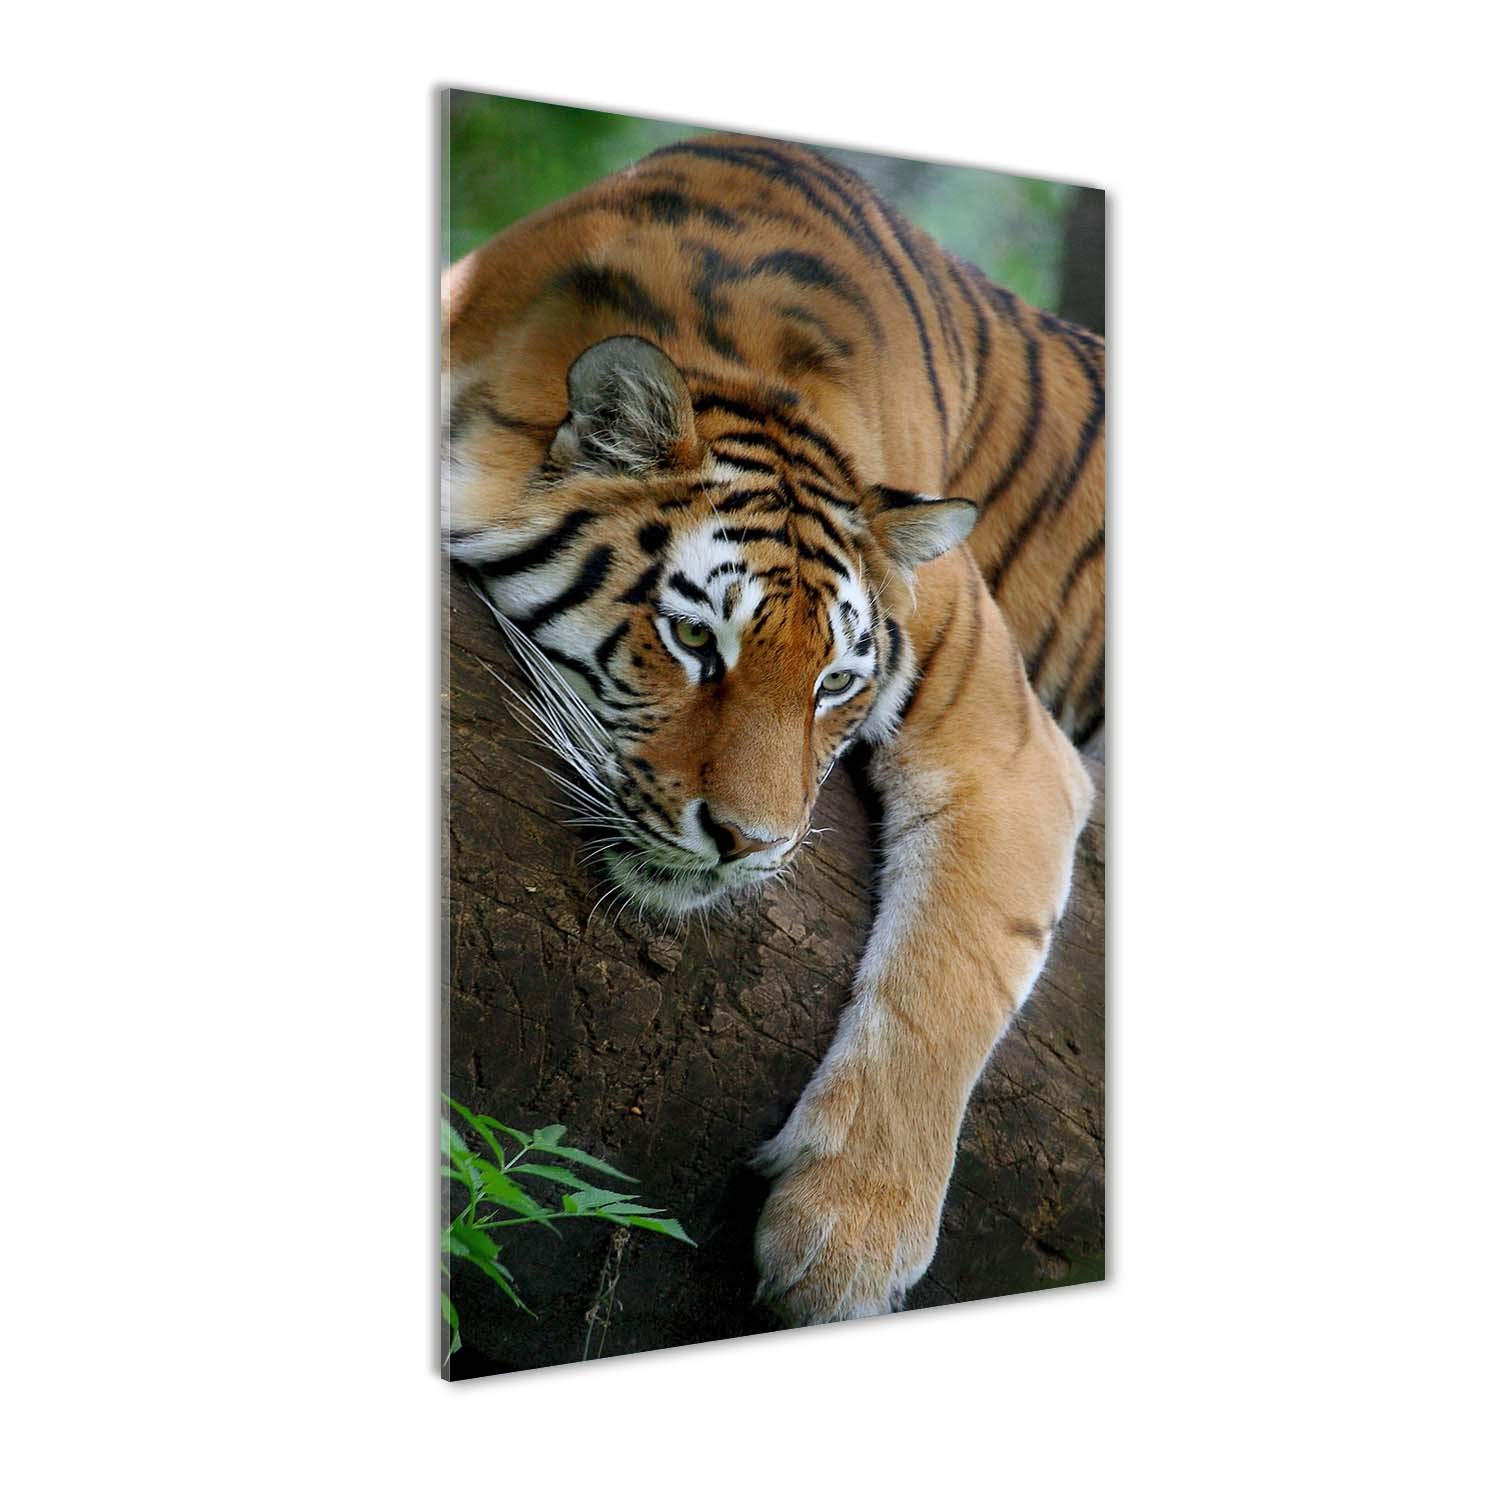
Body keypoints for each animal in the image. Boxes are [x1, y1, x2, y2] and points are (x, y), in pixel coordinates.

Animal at [443, 132, 1103, 1326]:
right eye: (695, 640)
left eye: (834, 683)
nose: (750, 844)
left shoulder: (1012, 745)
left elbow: (950, 976)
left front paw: (846, 1243)